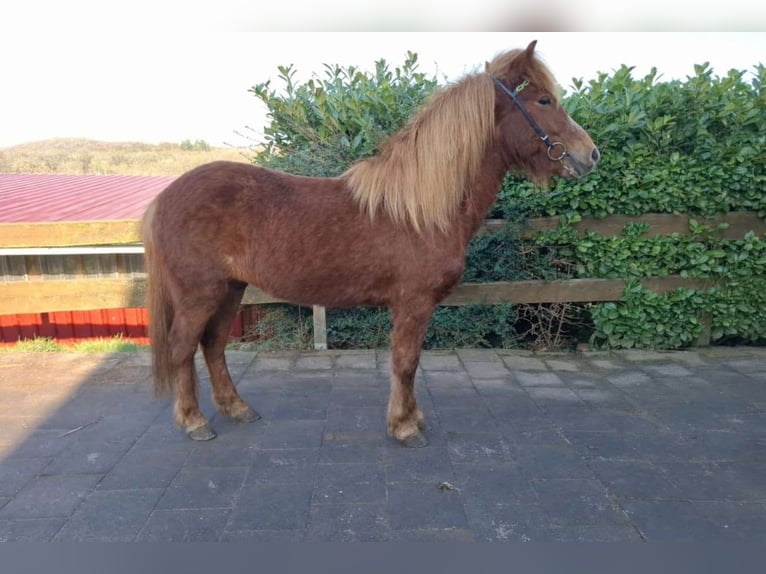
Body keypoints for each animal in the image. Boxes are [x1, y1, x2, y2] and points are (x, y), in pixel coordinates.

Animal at [141, 40, 599, 447]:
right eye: (543, 101)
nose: (590, 154)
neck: (420, 208)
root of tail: (165, 197)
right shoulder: (414, 302)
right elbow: (406, 362)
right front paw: (405, 426)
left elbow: (408, 363)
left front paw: (411, 417)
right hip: (200, 294)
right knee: (182, 348)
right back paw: (195, 422)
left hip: (230, 290)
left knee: (213, 346)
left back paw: (236, 408)